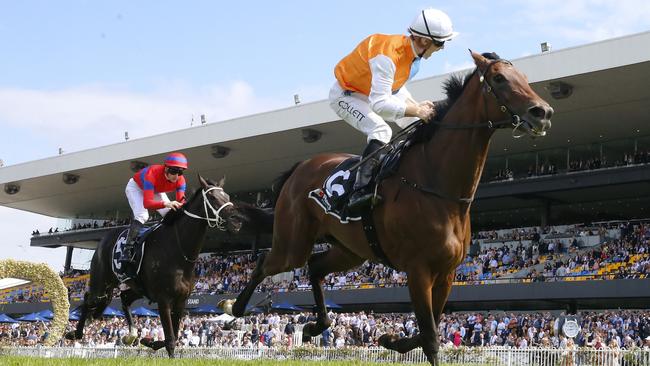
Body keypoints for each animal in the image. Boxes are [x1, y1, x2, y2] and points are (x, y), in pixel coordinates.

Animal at [67, 175, 242, 358]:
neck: (179, 250)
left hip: (137, 287)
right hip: (101, 281)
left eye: (228, 197)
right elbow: (170, 339)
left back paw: (131, 334)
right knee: (89, 299)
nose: (236, 221)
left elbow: (174, 335)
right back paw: (75, 333)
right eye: (213, 198)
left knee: (123, 298)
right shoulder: (164, 300)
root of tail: (103, 240)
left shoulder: (180, 300)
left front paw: (149, 341)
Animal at [224, 50, 552, 364]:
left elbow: (428, 330)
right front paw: (396, 340)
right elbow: (430, 338)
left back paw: (316, 324)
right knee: (265, 261)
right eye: (499, 79)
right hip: (293, 243)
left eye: (524, 77)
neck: (437, 184)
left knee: (315, 267)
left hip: (350, 250)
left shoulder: (446, 273)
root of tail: (299, 168)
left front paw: (391, 339)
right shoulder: (418, 270)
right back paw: (233, 308)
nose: (543, 113)